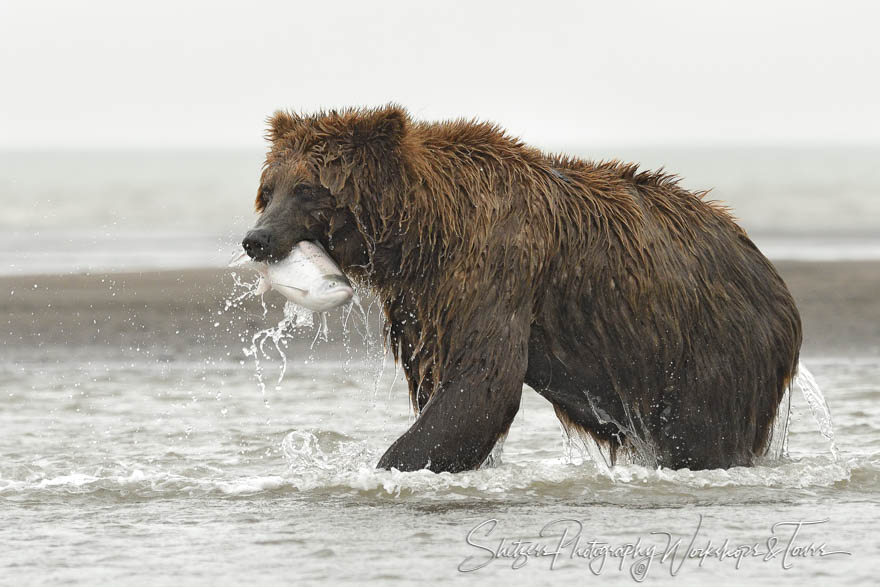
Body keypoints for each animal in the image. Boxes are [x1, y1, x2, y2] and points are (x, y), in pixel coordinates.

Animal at [242, 104, 804, 474]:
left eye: (308, 187)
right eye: (268, 189)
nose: (257, 239)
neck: (426, 230)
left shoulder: (497, 266)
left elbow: (481, 384)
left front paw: (387, 465)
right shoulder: (422, 300)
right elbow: (439, 384)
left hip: (712, 345)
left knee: (702, 433)